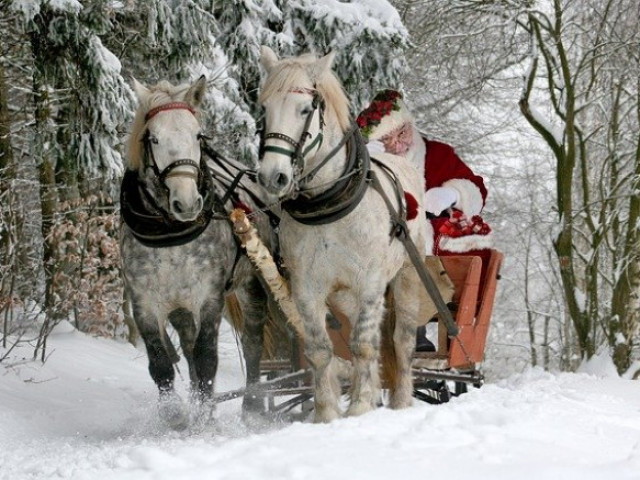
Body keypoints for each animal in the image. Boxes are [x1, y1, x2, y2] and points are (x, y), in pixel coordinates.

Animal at [255, 47, 430, 422]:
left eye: (305, 109)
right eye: (264, 108)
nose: (272, 177)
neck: (328, 203)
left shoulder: (371, 282)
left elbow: (363, 345)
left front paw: (360, 406)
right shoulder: (307, 288)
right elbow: (321, 350)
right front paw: (327, 413)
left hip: (408, 276)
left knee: (401, 340)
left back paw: (400, 400)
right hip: (345, 296)